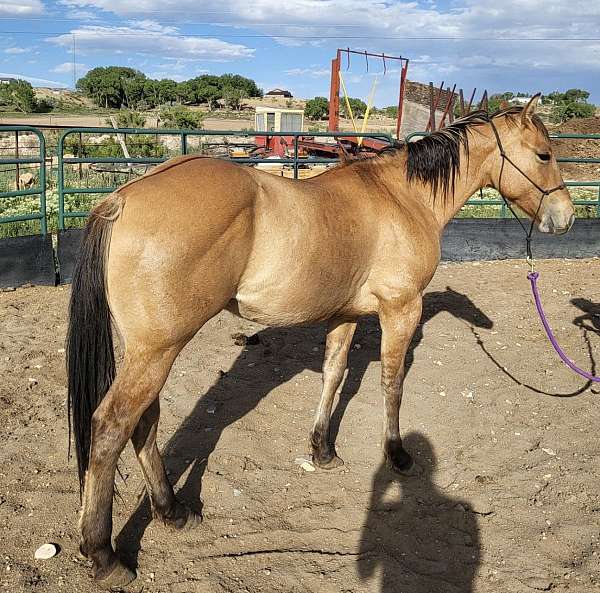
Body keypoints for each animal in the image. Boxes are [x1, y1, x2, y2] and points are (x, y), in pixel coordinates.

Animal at [68, 95, 576, 584]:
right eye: (544, 154)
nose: (565, 216)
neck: (401, 198)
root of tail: (124, 197)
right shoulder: (401, 310)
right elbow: (393, 383)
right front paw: (397, 453)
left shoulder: (345, 316)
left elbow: (334, 376)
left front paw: (322, 450)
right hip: (157, 351)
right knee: (112, 427)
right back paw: (104, 555)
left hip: (148, 351)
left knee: (145, 422)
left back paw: (172, 511)